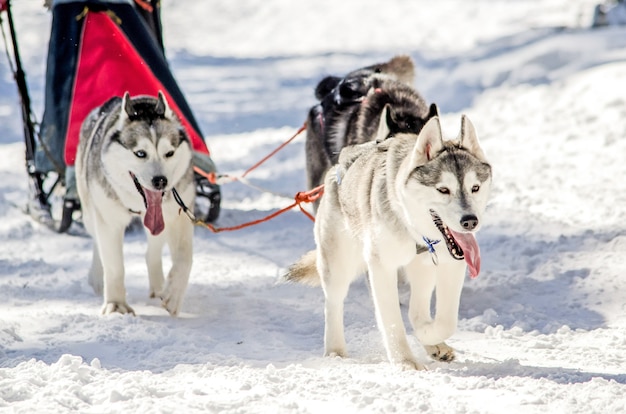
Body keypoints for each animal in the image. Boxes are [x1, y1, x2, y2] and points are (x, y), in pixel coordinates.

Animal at [77, 92, 196, 316]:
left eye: (169, 153)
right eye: (140, 153)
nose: (160, 181)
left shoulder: (177, 216)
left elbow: (184, 258)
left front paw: (174, 294)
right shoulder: (109, 222)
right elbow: (114, 266)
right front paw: (116, 305)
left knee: (152, 253)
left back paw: (158, 288)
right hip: (89, 212)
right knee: (97, 242)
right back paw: (97, 278)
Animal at [286, 111, 490, 368]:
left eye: (475, 188)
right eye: (443, 190)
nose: (470, 221)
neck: (413, 229)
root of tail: (340, 165)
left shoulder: (451, 265)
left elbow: (445, 322)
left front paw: (428, 336)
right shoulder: (381, 268)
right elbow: (392, 321)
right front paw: (405, 362)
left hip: (421, 269)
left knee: (417, 307)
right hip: (338, 265)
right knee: (333, 303)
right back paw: (335, 351)